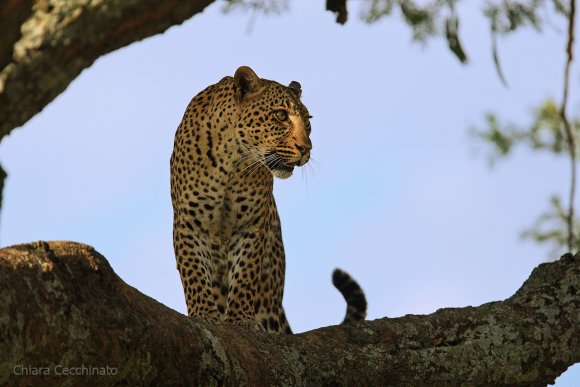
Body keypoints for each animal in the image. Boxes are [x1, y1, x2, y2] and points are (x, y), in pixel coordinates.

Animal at [170, 66, 364, 334]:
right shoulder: (189, 222)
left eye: (308, 121)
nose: (306, 149)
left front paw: (240, 319)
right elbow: (194, 273)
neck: (232, 160)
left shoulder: (252, 225)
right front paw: (204, 314)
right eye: (281, 115)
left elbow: (245, 273)